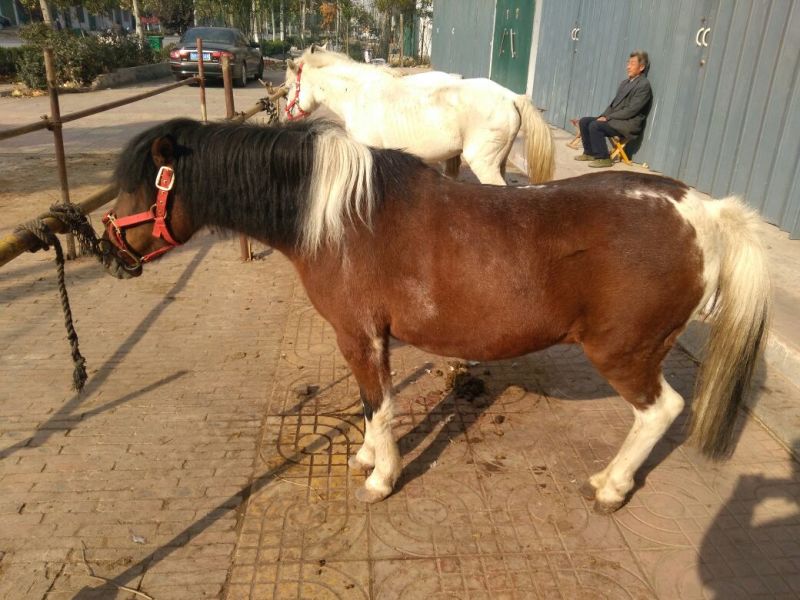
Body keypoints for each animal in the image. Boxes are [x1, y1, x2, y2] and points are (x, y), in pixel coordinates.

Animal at [100, 118, 770, 514]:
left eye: (140, 186)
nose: (106, 252)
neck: (340, 215)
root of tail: (704, 211)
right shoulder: (370, 339)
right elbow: (371, 405)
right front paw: (367, 457)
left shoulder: (359, 336)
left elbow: (380, 405)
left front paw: (380, 478)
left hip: (624, 352)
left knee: (661, 411)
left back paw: (611, 485)